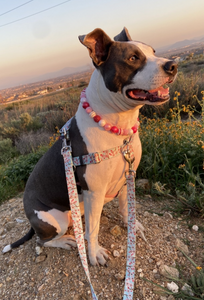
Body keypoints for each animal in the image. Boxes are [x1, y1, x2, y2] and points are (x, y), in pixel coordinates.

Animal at [2, 26, 177, 264]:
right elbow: (93, 230)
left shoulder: (127, 178)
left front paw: (130, 225)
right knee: (42, 241)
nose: (172, 65)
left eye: (153, 51)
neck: (117, 128)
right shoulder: (94, 191)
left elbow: (126, 208)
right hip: (55, 220)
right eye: (132, 58)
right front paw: (94, 254)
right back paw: (64, 241)